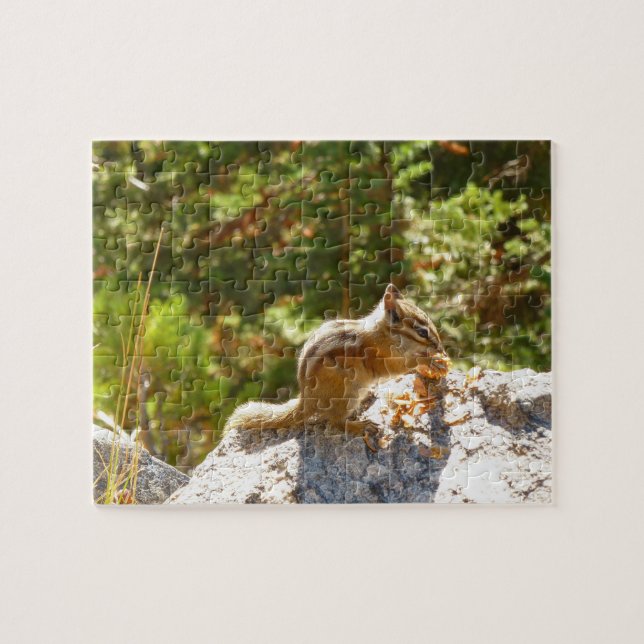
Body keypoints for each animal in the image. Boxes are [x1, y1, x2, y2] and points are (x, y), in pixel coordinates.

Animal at [224, 284, 449, 435]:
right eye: (422, 332)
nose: (440, 347)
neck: (384, 334)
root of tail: (307, 400)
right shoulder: (383, 357)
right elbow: (401, 366)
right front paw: (428, 361)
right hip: (346, 393)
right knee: (335, 422)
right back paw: (360, 426)